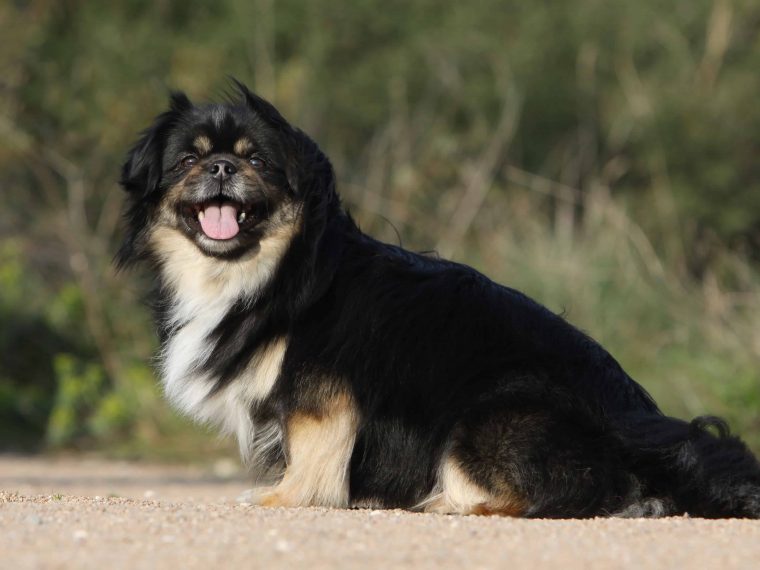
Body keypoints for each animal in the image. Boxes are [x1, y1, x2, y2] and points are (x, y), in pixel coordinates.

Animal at [119, 82, 760, 516]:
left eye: (257, 160)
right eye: (187, 160)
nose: (221, 166)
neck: (270, 271)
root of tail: (641, 433)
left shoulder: (320, 391)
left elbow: (314, 453)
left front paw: (283, 499)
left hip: (483, 420)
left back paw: (448, 503)